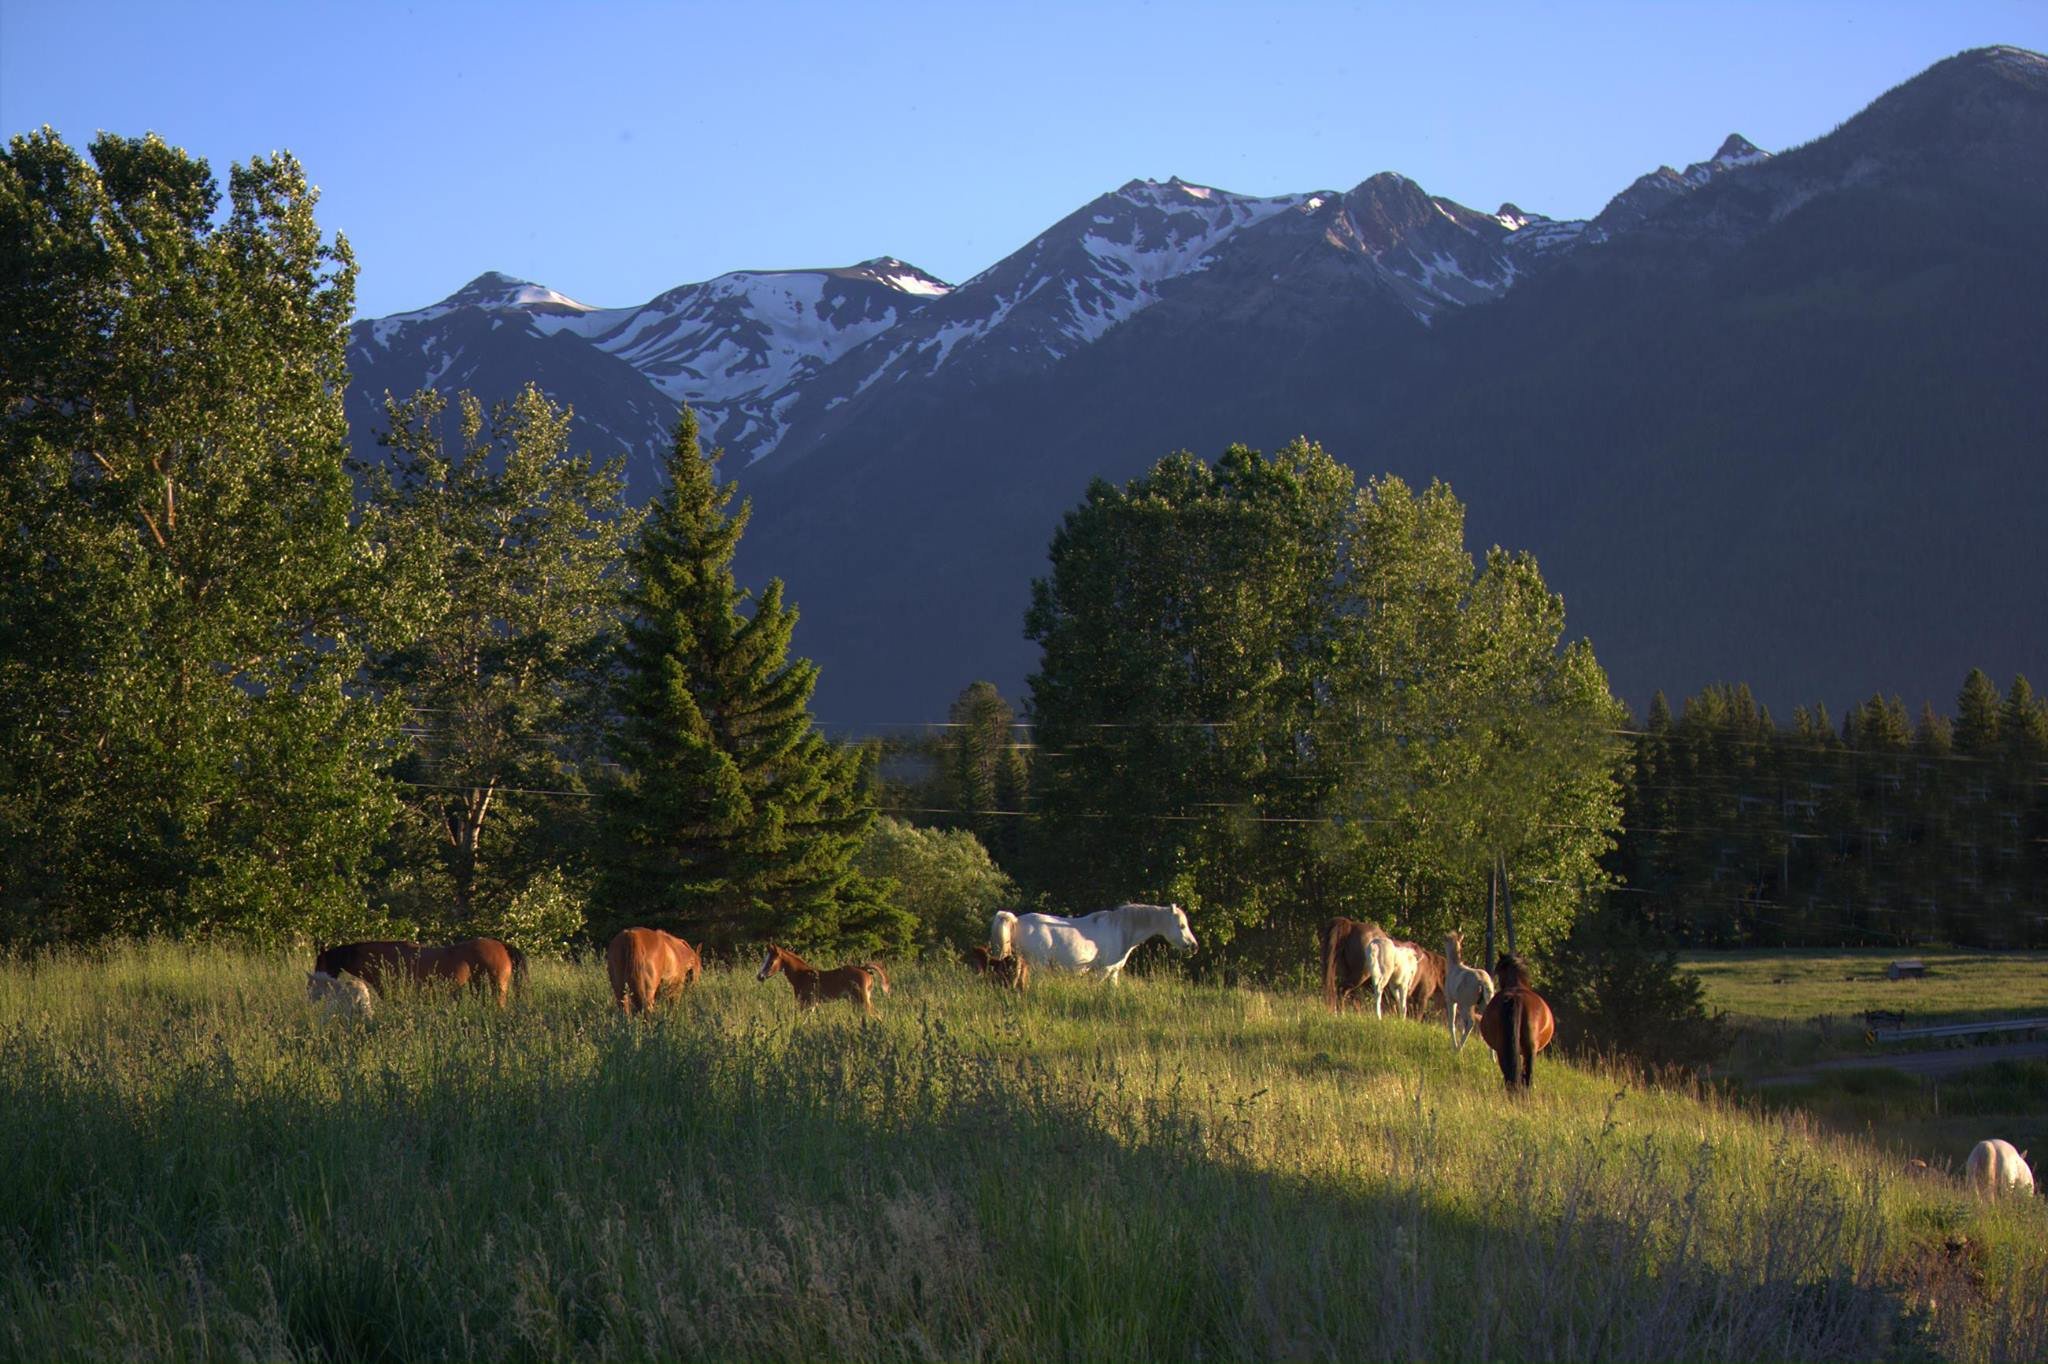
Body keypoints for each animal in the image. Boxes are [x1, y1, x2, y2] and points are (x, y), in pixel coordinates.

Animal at [983, 901, 1196, 978]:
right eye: (1182, 925)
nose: (1194, 946)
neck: (1120, 930)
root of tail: (1017, 920)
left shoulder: (1113, 973)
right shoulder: (1102, 972)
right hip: (1038, 965)